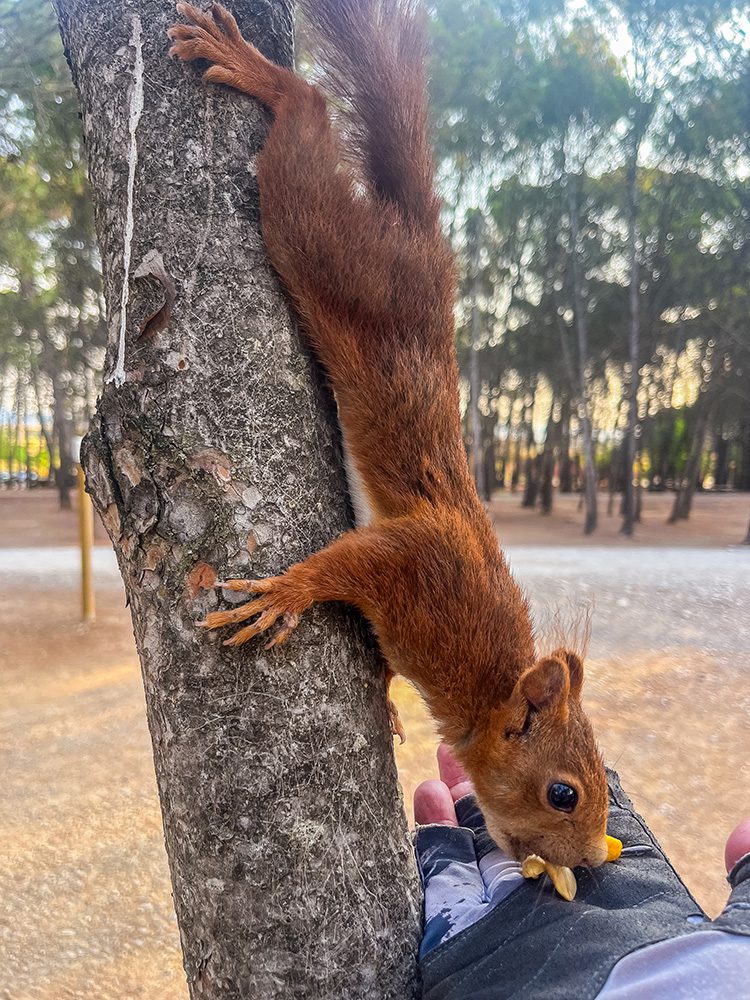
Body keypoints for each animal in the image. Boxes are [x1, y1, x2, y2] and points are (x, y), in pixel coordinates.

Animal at [168, 0, 610, 870]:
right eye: (564, 792)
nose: (582, 864)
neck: (481, 679)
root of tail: (423, 235)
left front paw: (389, 705)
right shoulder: (422, 568)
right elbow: (349, 562)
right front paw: (289, 592)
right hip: (334, 251)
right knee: (305, 135)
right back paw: (265, 77)